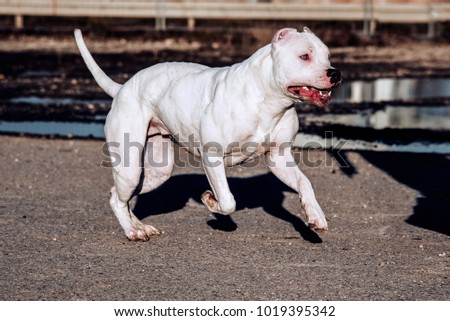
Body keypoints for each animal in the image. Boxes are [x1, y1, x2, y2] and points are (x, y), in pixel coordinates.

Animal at [74, 27, 342, 240]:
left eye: (328, 56)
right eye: (304, 56)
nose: (335, 73)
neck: (268, 99)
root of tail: (122, 88)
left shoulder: (279, 157)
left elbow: (305, 183)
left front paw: (315, 215)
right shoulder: (212, 157)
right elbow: (228, 200)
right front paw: (210, 201)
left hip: (156, 172)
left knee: (121, 195)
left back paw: (140, 226)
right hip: (130, 168)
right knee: (117, 199)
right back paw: (132, 231)